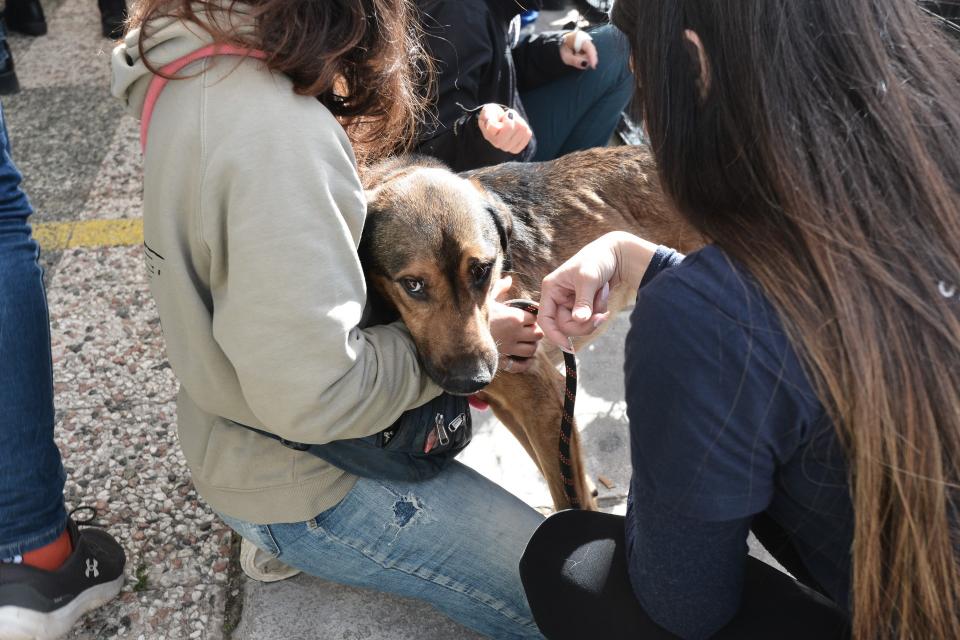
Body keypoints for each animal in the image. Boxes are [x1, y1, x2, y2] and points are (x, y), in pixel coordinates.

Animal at [356, 145, 700, 510]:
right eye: (413, 285)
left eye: (482, 269)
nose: (473, 379)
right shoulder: (514, 405)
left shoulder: (546, 400)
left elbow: (569, 498)